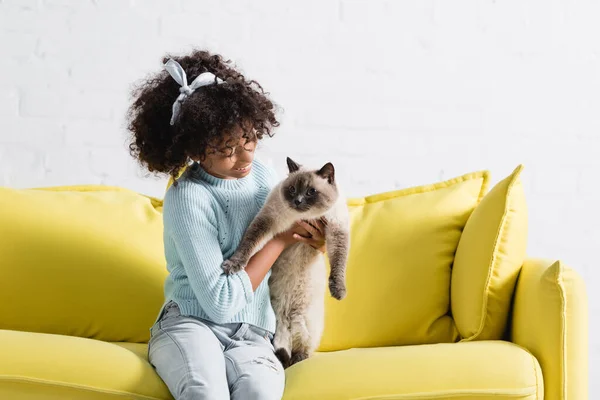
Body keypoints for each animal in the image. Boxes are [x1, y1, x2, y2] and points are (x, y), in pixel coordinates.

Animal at [223, 157, 350, 368]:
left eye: (311, 192)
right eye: (292, 189)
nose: (297, 201)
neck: (304, 217)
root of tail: (288, 316)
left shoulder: (336, 229)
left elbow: (339, 262)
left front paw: (338, 292)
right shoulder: (267, 221)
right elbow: (248, 245)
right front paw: (233, 265)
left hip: (306, 323)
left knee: (301, 351)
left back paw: (298, 360)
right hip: (278, 324)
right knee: (285, 350)